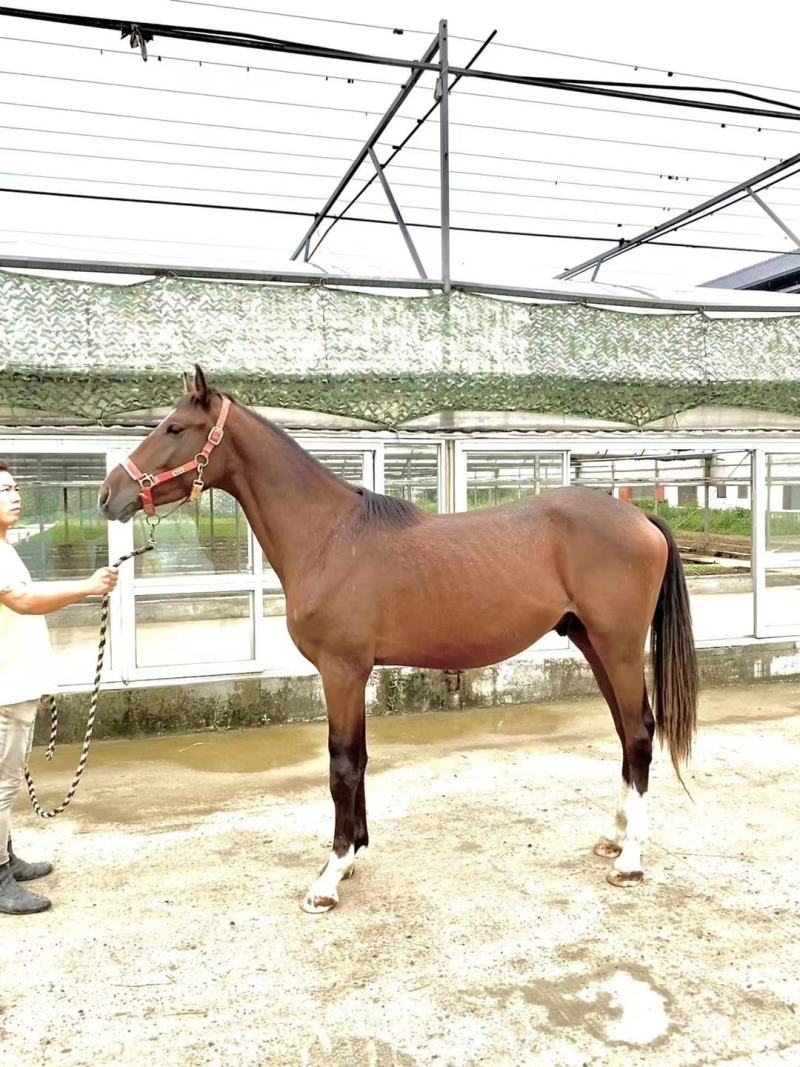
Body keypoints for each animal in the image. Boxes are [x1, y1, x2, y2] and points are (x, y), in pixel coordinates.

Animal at [98, 366, 697, 913]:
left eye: (175, 428)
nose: (108, 494)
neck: (330, 537)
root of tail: (641, 516)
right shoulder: (352, 673)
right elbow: (358, 759)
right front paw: (352, 855)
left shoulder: (342, 670)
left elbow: (342, 765)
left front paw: (330, 876)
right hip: (592, 643)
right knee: (624, 732)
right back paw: (615, 837)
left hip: (618, 646)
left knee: (639, 732)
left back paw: (630, 861)